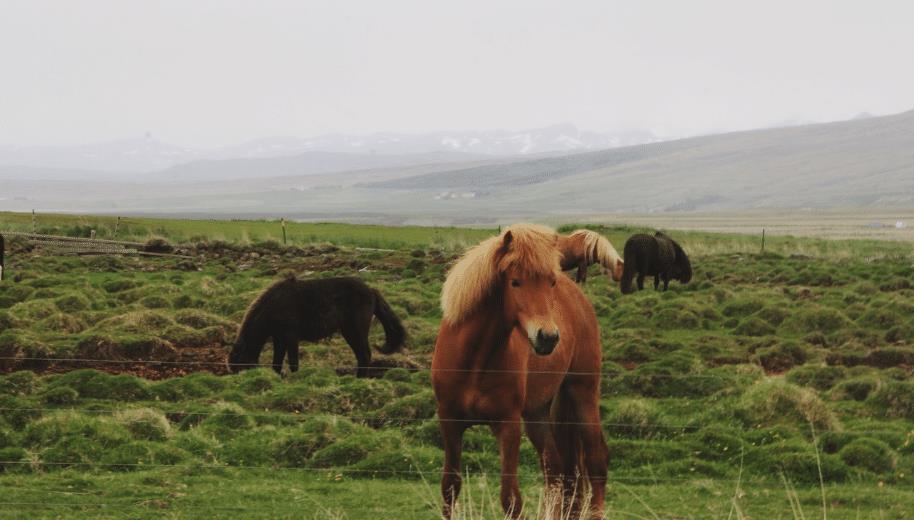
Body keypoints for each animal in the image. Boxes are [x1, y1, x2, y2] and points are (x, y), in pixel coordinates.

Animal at [226, 274, 404, 376]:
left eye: (240, 367)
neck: (274, 305)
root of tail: (371, 290)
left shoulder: (291, 338)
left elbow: (293, 362)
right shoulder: (279, 339)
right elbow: (277, 362)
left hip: (355, 332)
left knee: (364, 355)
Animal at [432, 224, 608, 520]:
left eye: (550, 282)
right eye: (515, 282)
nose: (548, 337)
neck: (475, 361)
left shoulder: (508, 425)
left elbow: (510, 499)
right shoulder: (450, 422)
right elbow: (450, 488)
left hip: (582, 393)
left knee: (596, 464)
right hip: (537, 413)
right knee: (557, 471)